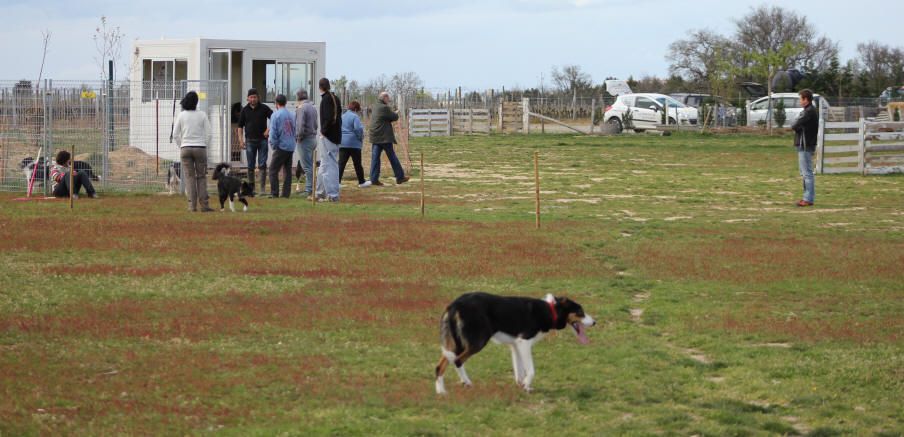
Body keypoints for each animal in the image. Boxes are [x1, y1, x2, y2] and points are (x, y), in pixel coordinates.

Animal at [436, 292, 596, 394]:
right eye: (580, 312)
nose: (595, 322)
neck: (550, 310)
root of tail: (455, 305)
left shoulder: (515, 345)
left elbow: (519, 371)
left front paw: (522, 385)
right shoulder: (524, 342)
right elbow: (531, 370)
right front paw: (526, 385)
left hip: (457, 344)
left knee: (440, 366)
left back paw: (441, 391)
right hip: (477, 342)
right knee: (458, 361)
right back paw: (466, 382)